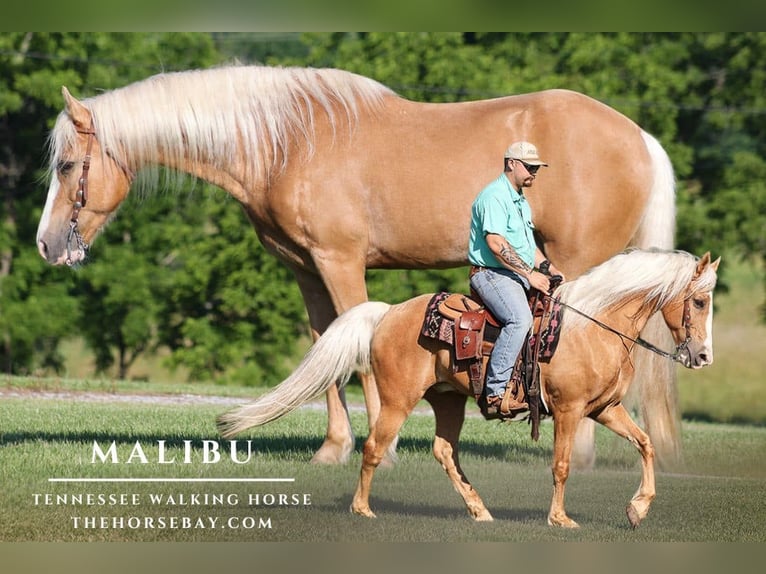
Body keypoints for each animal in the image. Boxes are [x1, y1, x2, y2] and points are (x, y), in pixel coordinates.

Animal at [35, 64, 678, 468]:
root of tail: (641, 138)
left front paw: (382, 448)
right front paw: (333, 448)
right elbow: (328, 344)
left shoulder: (340, 261)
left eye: (67, 165)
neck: (290, 142)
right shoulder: (305, 268)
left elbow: (361, 346)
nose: (46, 245)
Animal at [217, 249, 719, 528]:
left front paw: (638, 509)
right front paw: (560, 518)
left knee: (444, 451)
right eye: (699, 300)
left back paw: (479, 511)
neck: (592, 325)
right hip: (398, 400)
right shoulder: (570, 410)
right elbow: (560, 466)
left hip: (448, 401)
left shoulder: (605, 409)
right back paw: (362, 510)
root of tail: (387, 312)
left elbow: (646, 444)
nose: (703, 357)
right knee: (375, 446)